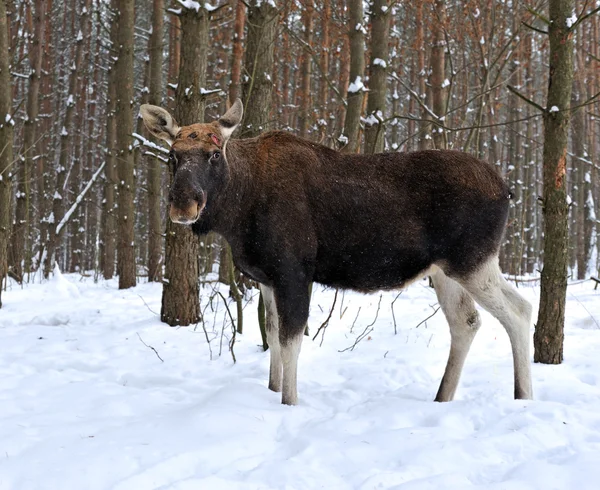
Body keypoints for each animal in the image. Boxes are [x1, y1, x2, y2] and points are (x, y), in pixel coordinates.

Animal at [142, 99, 536, 406]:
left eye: (213, 154)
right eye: (173, 155)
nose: (183, 204)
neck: (238, 210)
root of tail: (508, 189)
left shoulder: (294, 270)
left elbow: (290, 339)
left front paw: (289, 401)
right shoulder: (266, 277)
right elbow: (271, 332)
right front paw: (272, 389)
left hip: (473, 261)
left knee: (519, 310)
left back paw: (523, 396)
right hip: (444, 270)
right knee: (466, 322)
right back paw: (442, 396)